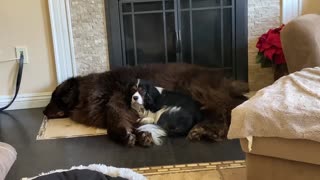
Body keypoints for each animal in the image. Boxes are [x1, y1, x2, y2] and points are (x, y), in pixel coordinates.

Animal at [43, 63, 248, 146]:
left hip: (196, 90)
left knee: (223, 111)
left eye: (54, 98)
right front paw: (142, 136)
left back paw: (209, 132)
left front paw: (125, 136)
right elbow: (136, 124)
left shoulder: (117, 103)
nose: (43, 111)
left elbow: (114, 123)